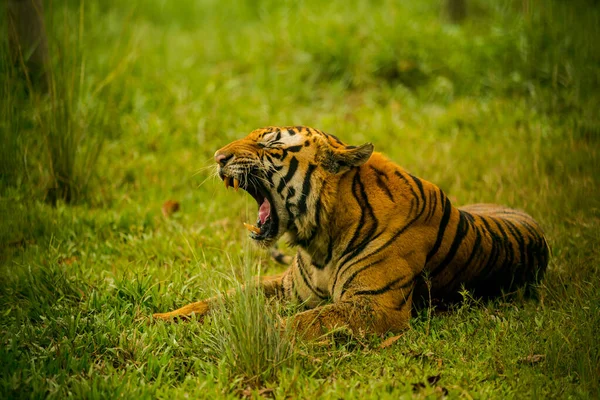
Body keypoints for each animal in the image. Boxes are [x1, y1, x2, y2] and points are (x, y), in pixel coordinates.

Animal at [154, 126, 548, 340]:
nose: (218, 157)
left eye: (270, 146)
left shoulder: (374, 305)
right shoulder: (286, 288)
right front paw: (159, 321)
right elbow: (220, 299)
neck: (318, 239)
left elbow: (303, 322)